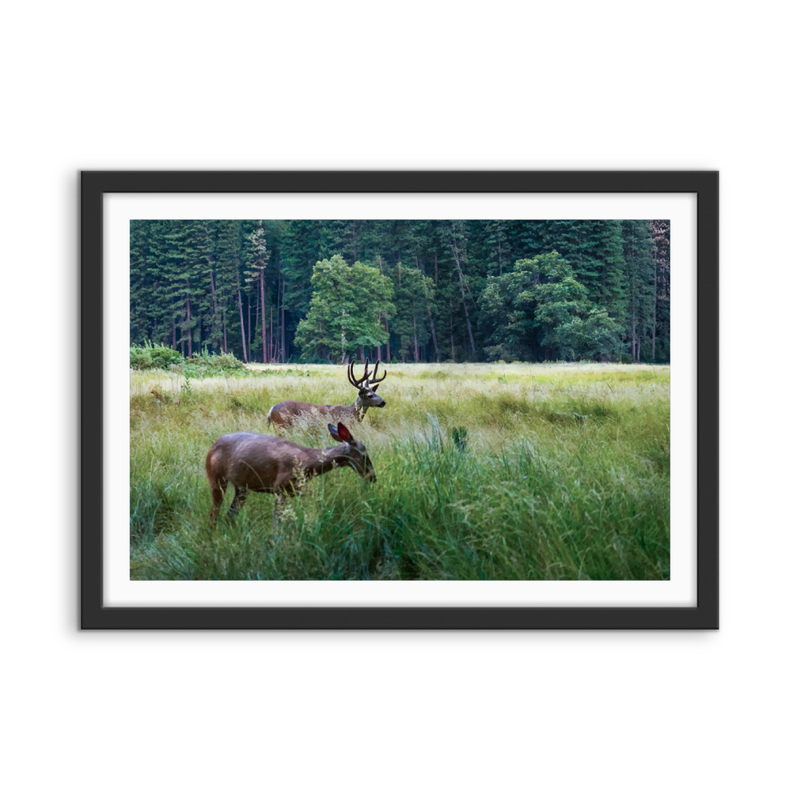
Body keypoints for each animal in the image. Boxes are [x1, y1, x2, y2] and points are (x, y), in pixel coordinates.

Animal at [206, 421, 375, 524]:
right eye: (365, 456)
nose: (373, 477)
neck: (307, 463)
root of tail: (211, 447)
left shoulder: (293, 489)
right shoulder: (280, 486)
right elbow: (278, 523)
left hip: (242, 488)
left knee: (230, 515)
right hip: (216, 478)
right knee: (214, 514)